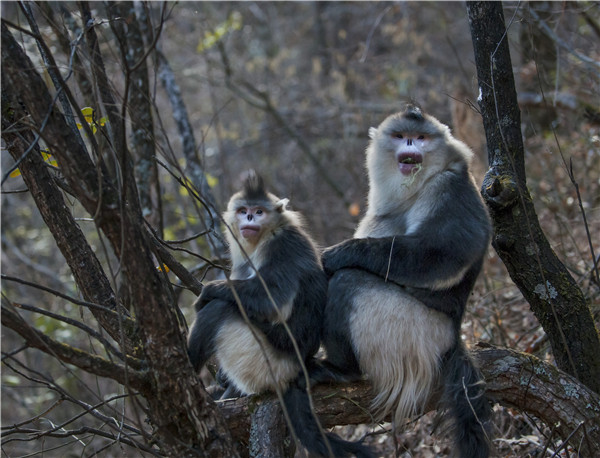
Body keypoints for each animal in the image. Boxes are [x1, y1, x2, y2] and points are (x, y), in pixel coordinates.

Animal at [189, 172, 376, 458]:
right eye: (243, 211)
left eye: (258, 211)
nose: (249, 218)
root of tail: (296, 368)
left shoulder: (282, 245)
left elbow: (271, 302)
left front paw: (209, 290)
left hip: (262, 361)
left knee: (220, 309)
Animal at [318, 104, 492, 458]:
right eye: (400, 136)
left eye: (421, 137)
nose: (410, 143)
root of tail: (452, 337)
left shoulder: (449, 187)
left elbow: (444, 251)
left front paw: (337, 255)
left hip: (409, 330)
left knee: (348, 282)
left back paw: (342, 369)